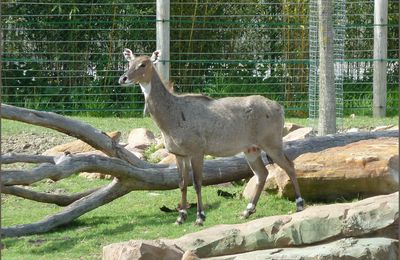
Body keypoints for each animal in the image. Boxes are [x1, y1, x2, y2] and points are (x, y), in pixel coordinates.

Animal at [119, 48, 304, 225]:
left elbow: (197, 183)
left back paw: (299, 205)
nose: (123, 78)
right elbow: (182, 184)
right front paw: (180, 217)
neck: (172, 116)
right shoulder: (179, 154)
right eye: (129, 62)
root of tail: (280, 108)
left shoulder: (197, 151)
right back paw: (247, 211)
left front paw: (200, 217)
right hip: (251, 149)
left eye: (143, 64)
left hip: (272, 143)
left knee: (289, 166)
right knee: (262, 173)